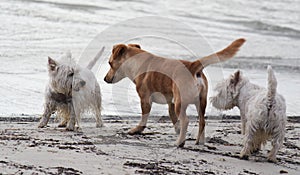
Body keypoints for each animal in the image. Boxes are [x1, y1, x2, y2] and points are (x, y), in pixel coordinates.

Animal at [104, 39, 245, 147]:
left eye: (110, 63)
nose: (105, 79)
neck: (137, 62)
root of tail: (192, 66)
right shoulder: (170, 102)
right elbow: (173, 118)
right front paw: (177, 130)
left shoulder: (145, 99)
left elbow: (144, 118)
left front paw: (136, 130)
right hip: (200, 102)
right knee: (202, 121)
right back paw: (199, 142)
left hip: (180, 103)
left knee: (186, 120)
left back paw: (180, 143)